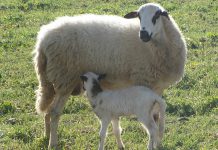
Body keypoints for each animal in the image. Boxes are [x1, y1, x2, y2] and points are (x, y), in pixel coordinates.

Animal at [33, 2, 186, 149]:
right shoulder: (146, 83)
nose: (143, 34)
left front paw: (157, 143)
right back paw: (52, 143)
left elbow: (157, 114)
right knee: (54, 112)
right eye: (139, 16)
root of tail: (43, 39)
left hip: (52, 80)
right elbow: (154, 117)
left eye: (156, 16)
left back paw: (47, 135)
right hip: (65, 77)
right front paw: (155, 143)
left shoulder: (158, 87)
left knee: (48, 109)